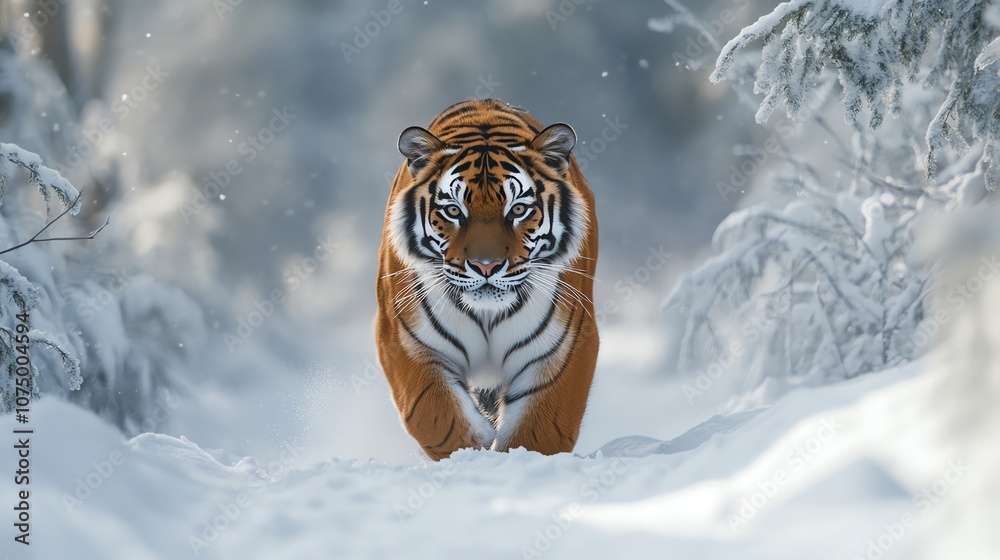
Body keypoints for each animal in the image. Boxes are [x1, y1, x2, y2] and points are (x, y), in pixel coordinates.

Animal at [375, 98, 599, 460]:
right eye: (453, 211)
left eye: (518, 209)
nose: (486, 266)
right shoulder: (404, 338)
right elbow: (437, 417)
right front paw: (471, 454)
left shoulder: (566, 343)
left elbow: (539, 432)